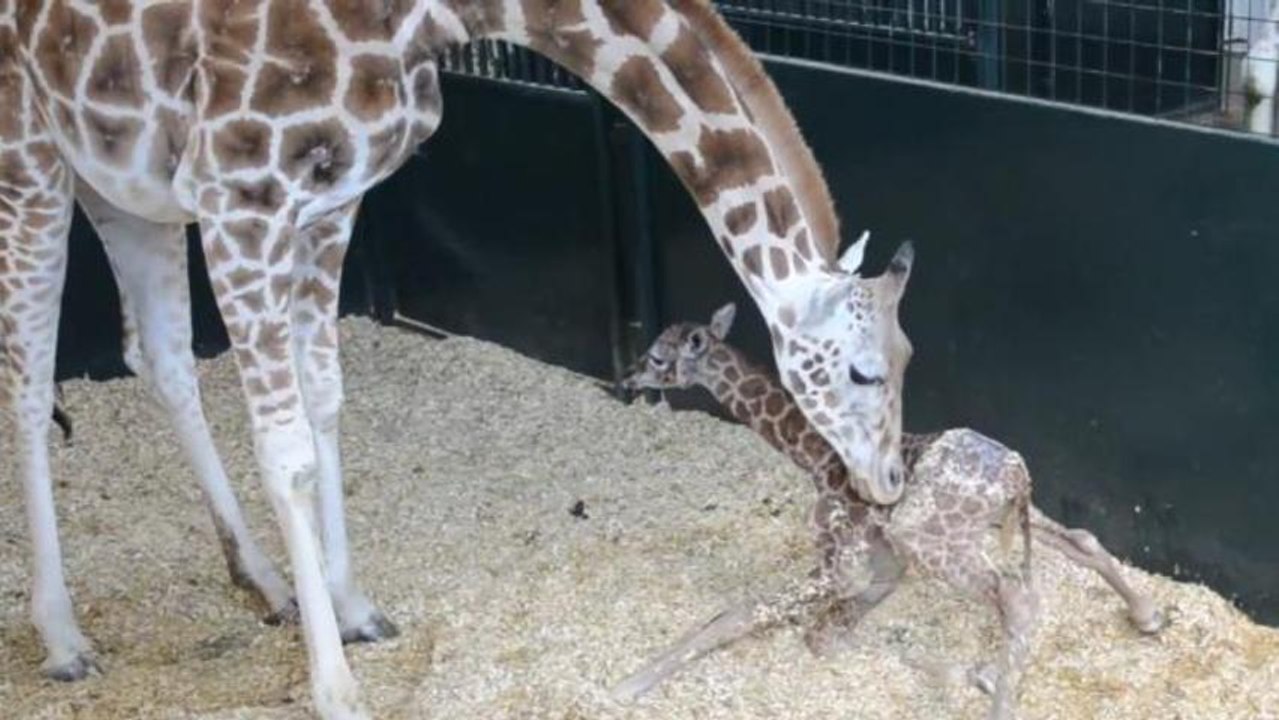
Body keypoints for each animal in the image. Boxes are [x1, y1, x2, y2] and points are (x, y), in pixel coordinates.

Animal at [1, 2, 917, 718]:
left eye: (912, 353)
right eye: (862, 370)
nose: (887, 485)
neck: (429, 16)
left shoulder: (332, 202)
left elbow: (325, 399)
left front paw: (352, 608)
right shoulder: (240, 200)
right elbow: (285, 449)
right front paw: (336, 689)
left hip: (120, 181)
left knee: (159, 356)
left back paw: (261, 579)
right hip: (30, 151)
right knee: (31, 376)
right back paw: (64, 638)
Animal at [612, 303, 1168, 720]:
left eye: (659, 357)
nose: (629, 374)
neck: (816, 457)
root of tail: (1016, 475)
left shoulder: (840, 555)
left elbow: (743, 613)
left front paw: (632, 682)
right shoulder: (883, 559)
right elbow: (825, 633)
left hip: (929, 536)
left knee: (1016, 599)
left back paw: (996, 689)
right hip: (1002, 521)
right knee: (1080, 541)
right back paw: (1145, 617)